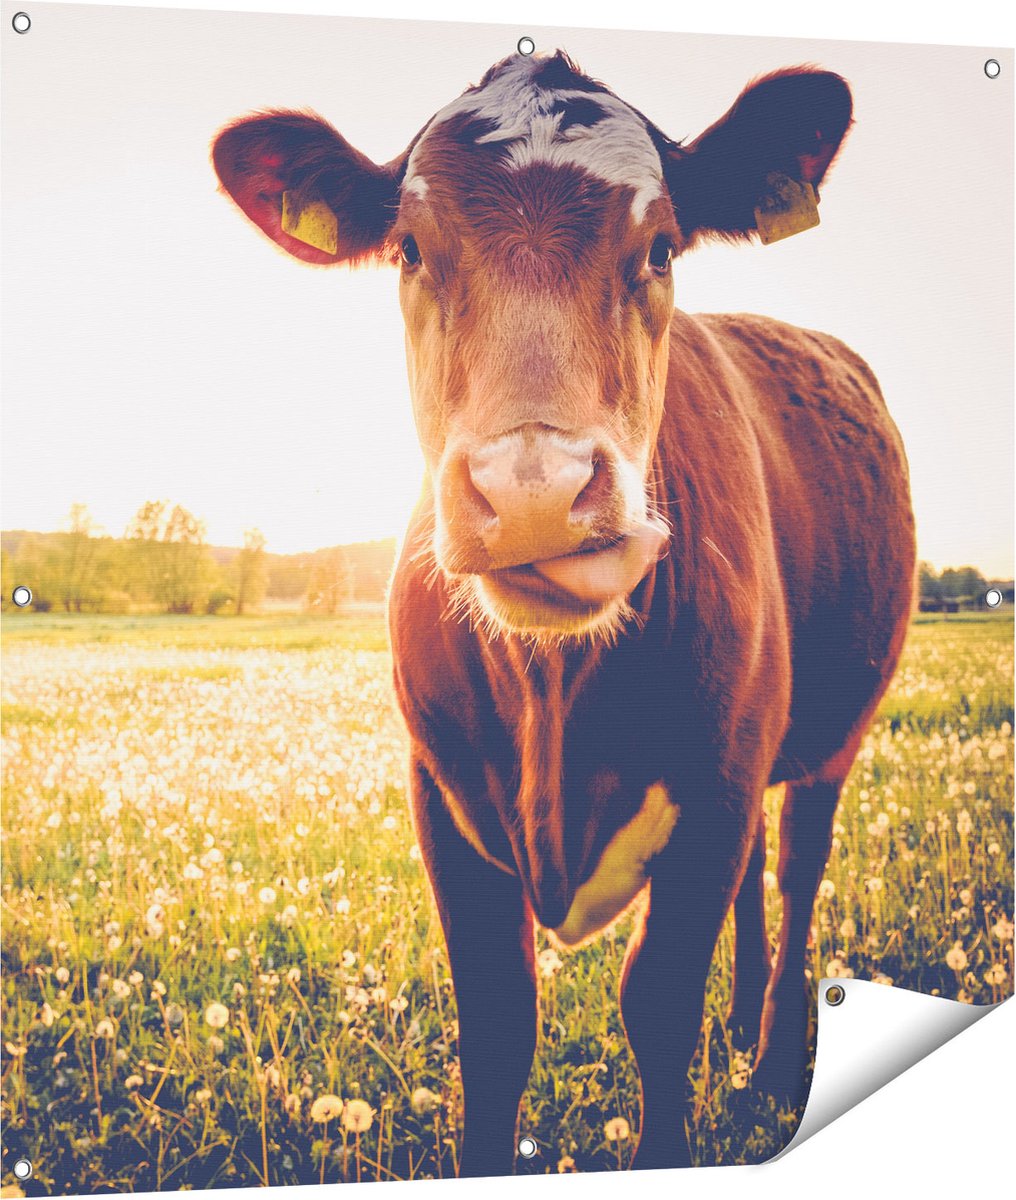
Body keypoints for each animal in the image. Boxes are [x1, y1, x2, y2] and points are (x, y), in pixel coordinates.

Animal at [212, 50, 916, 1175]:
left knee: (796, 876)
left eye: (662, 245)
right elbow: (498, 1026)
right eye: (410, 248)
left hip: (827, 737)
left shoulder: (714, 788)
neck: (553, 691)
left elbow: (657, 1006)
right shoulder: (442, 796)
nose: (534, 491)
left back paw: (766, 1065)